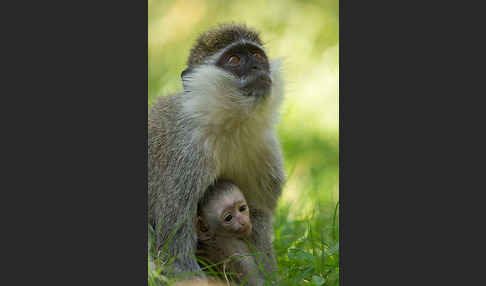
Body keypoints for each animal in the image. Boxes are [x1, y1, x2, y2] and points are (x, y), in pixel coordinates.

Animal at [148, 22, 284, 282]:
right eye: (234, 59)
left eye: (257, 56)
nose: (257, 67)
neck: (229, 127)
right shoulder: (186, 157)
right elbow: (175, 253)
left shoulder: (264, 149)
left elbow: (258, 215)